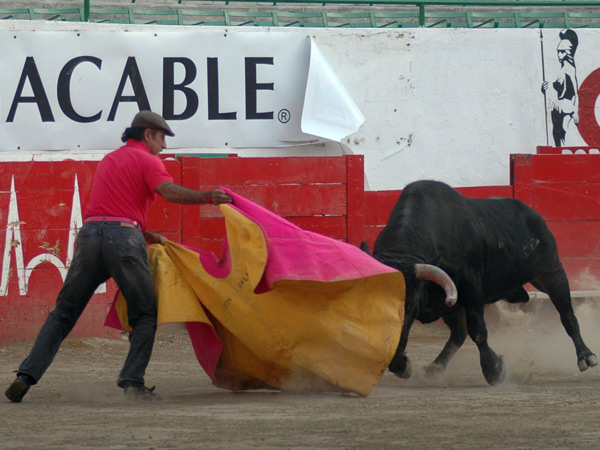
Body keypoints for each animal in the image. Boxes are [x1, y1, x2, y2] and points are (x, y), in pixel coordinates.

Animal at [360, 181, 596, 384]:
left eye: (408, 304)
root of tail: (534, 216)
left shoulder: (470, 287)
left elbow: (478, 329)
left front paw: (494, 370)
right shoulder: (453, 301)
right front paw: (401, 364)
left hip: (552, 272)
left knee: (568, 316)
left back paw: (586, 356)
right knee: (457, 335)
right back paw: (435, 368)